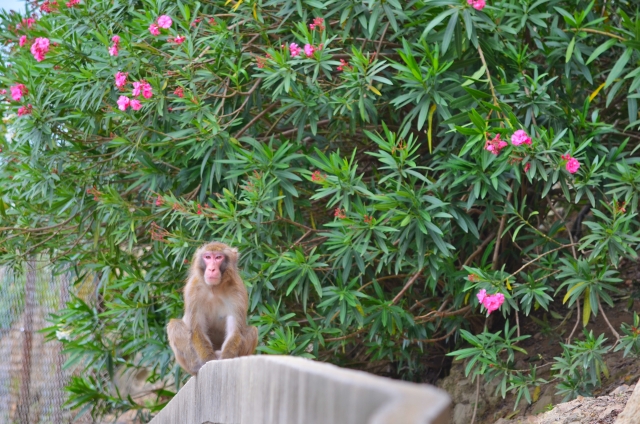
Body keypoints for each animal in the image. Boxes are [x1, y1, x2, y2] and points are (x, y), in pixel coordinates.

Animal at [166, 242, 258, 374]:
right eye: (208, 257)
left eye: (218, 257)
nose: (211, 269)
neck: (215, 288)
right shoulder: (192, 290)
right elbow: (197, 330)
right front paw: (208, 360)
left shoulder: (238, 291)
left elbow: (234, 331)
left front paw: (225, 359)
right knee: (174, 325)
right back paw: (196, 366)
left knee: (252, 331)